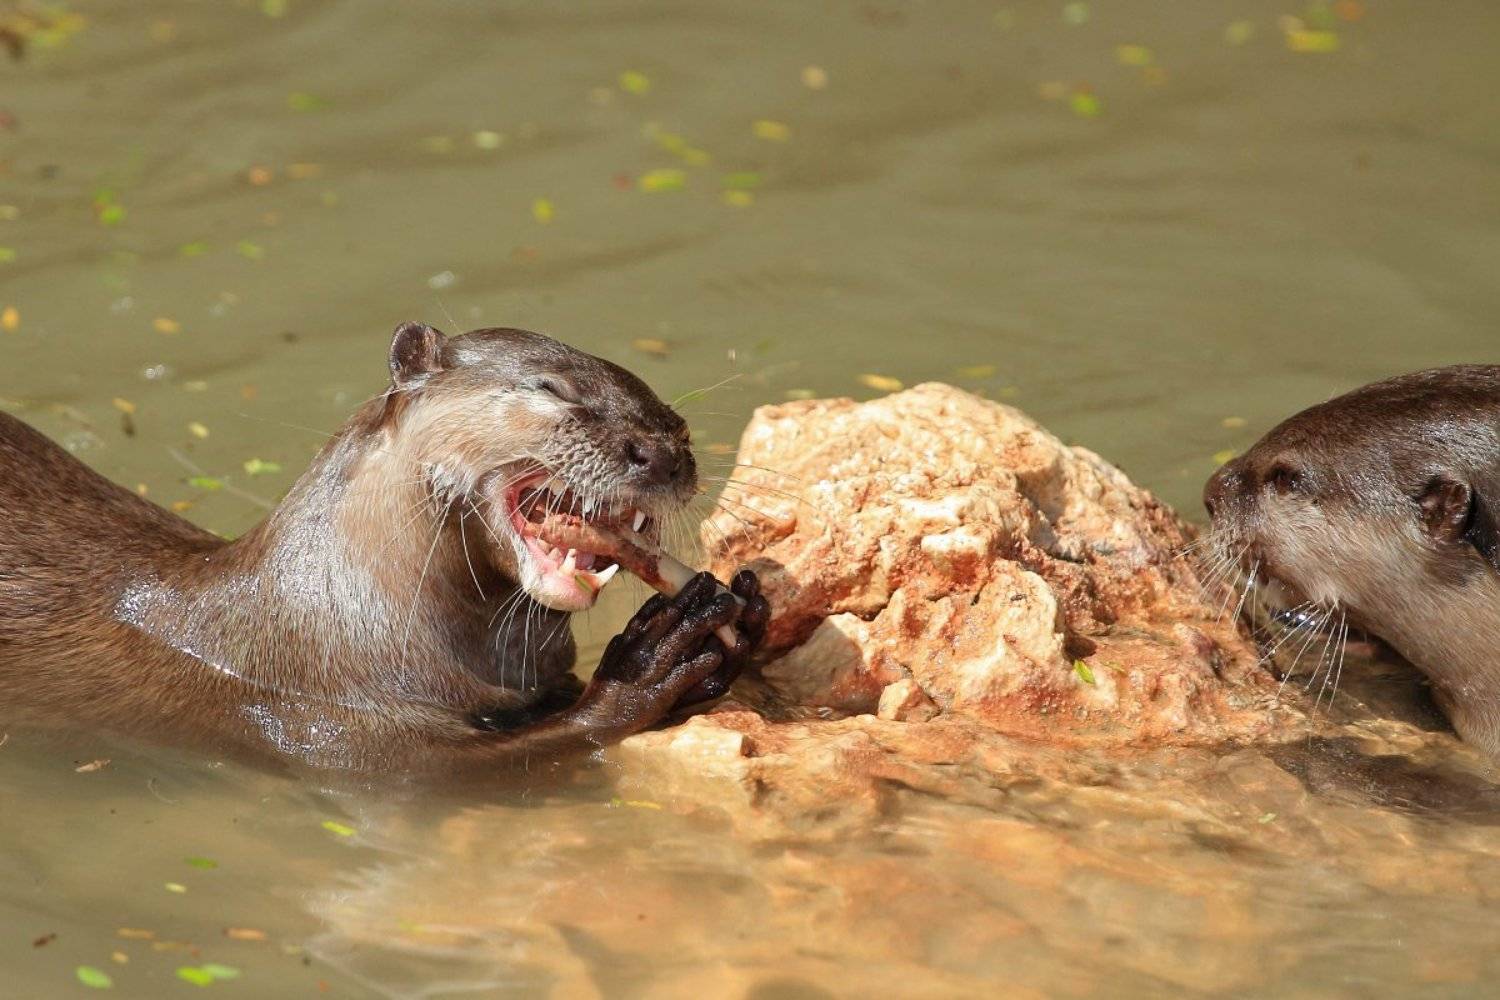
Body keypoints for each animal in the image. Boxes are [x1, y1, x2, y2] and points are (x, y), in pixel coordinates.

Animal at [0, 322, 770, 772]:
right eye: (552, 389)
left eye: (672, 417)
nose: (664, 453)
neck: (337, 613)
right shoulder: (338, 727)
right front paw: (650, 659)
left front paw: (745, 616)